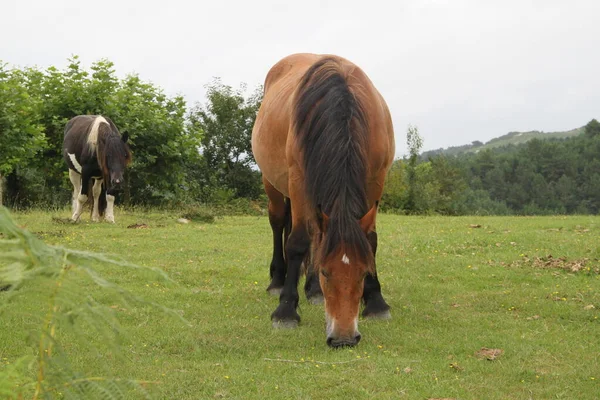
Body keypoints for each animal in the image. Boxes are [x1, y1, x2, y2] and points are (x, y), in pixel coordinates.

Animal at [251, 53, 396, 346]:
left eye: (363, 272)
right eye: (326, 272)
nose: (343, 339)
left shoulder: (377, 179)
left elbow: (371, 240)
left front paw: (376, 302)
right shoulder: (298, 180)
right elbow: (296, 242)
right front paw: (286, 311)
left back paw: (312, 291)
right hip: (273, 183)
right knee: (279, 222)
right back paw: (278, 282)